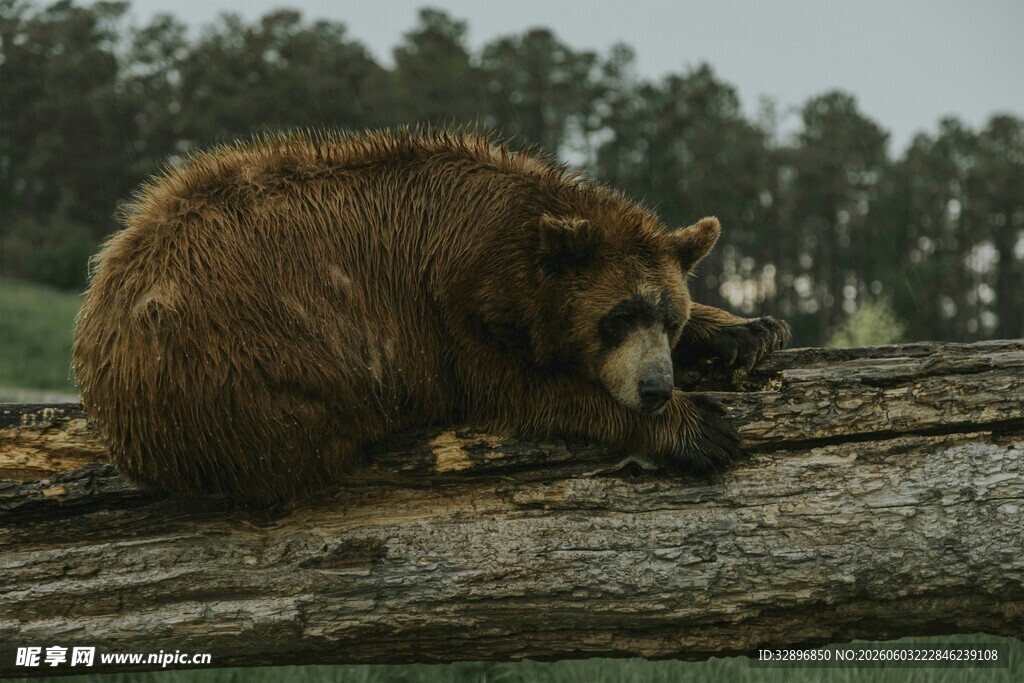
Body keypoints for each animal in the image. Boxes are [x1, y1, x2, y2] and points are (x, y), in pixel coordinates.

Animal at [72, 129, 790, 506]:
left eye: (666, 318)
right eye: (617, 316)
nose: (656, 388)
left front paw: (749, 330)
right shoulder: (439, 311)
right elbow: (519, 388)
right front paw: (702, 429)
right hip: (231, 355)